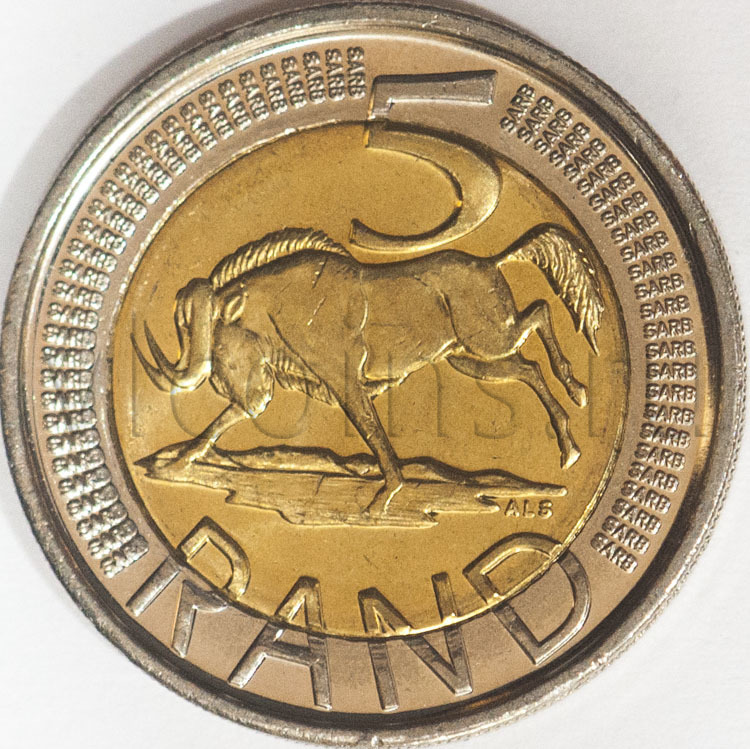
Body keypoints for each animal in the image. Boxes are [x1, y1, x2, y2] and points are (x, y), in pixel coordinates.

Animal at [133, 224, 604, 515]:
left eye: (215, 334)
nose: (218, 383)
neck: (287, 299)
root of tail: (492, 261)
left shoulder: (344, 382)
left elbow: (374, 433)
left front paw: (386, 495)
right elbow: (217, 425)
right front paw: (174, 465)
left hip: (489, 339)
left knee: (540, 313)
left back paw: (577, 388)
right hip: (470, 357)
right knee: (529, 369)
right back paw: (569, 444)